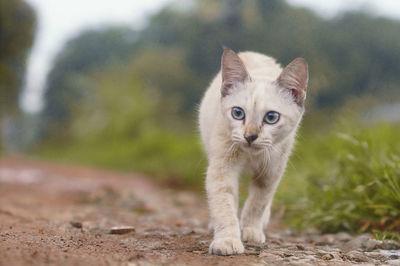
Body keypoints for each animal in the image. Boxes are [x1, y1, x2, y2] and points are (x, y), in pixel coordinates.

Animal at [198, 47, 308, 256]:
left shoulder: (271, 171)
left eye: (271, 117)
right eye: (238, 113)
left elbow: (258, 202)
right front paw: (227, 240)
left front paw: (250, 230)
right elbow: (224, 205)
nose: (250, 136)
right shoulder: (222, 167)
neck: (251, 156)